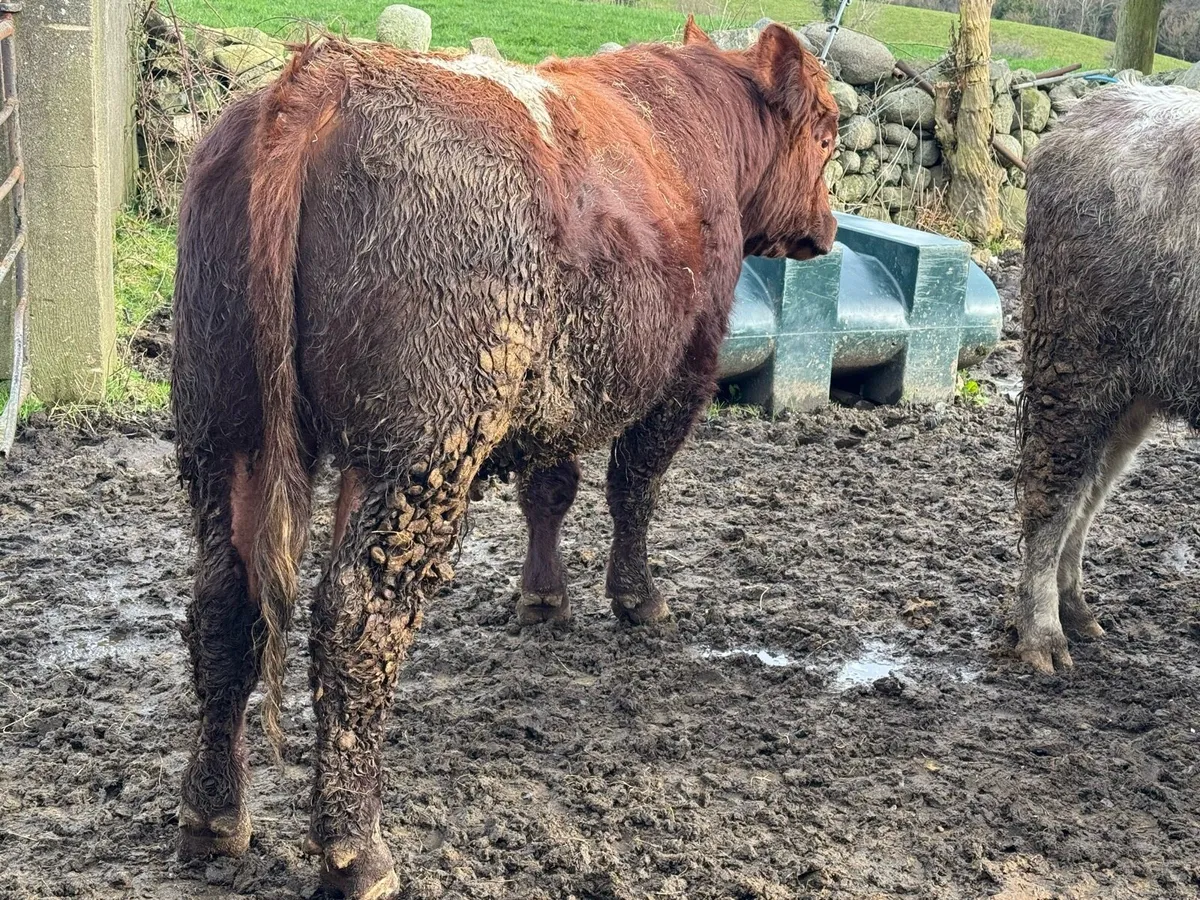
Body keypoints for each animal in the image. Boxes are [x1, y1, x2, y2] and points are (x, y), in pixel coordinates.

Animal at [171, 18, 837, 897]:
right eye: (828, 132)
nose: (829, 227)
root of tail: (325, 76)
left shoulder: (559, 391)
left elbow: (550, 489)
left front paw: (542, 597)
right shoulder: (683, 373)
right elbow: (634, 489)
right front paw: (637, 598)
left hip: (226, 434)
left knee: (225, 605)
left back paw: (213, 815)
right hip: (414, 452)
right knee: (356, 619)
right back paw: (355, 848)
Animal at [1015, 84, 1200, 674]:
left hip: (1132, 392)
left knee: (1091, 491)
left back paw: (1084, 618)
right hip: (1073, 361)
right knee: (1052, 493)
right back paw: (1045, 645)